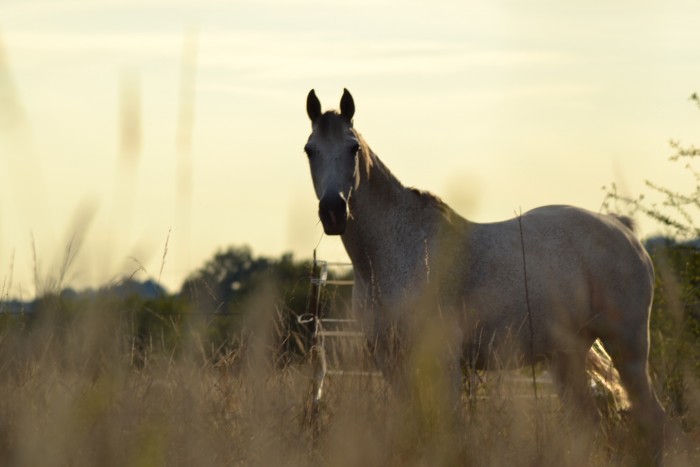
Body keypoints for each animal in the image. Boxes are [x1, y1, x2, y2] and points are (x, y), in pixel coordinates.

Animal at [304, 88, 664, 464]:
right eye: (310, 149)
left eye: (353, 148)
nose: (333, 211)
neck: (398, 250)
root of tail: (622, 228)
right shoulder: (391, 363)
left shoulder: (443, 362)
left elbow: (449, 431)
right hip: (567, 355)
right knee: (589, 422)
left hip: (628, 347)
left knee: (651, 417)